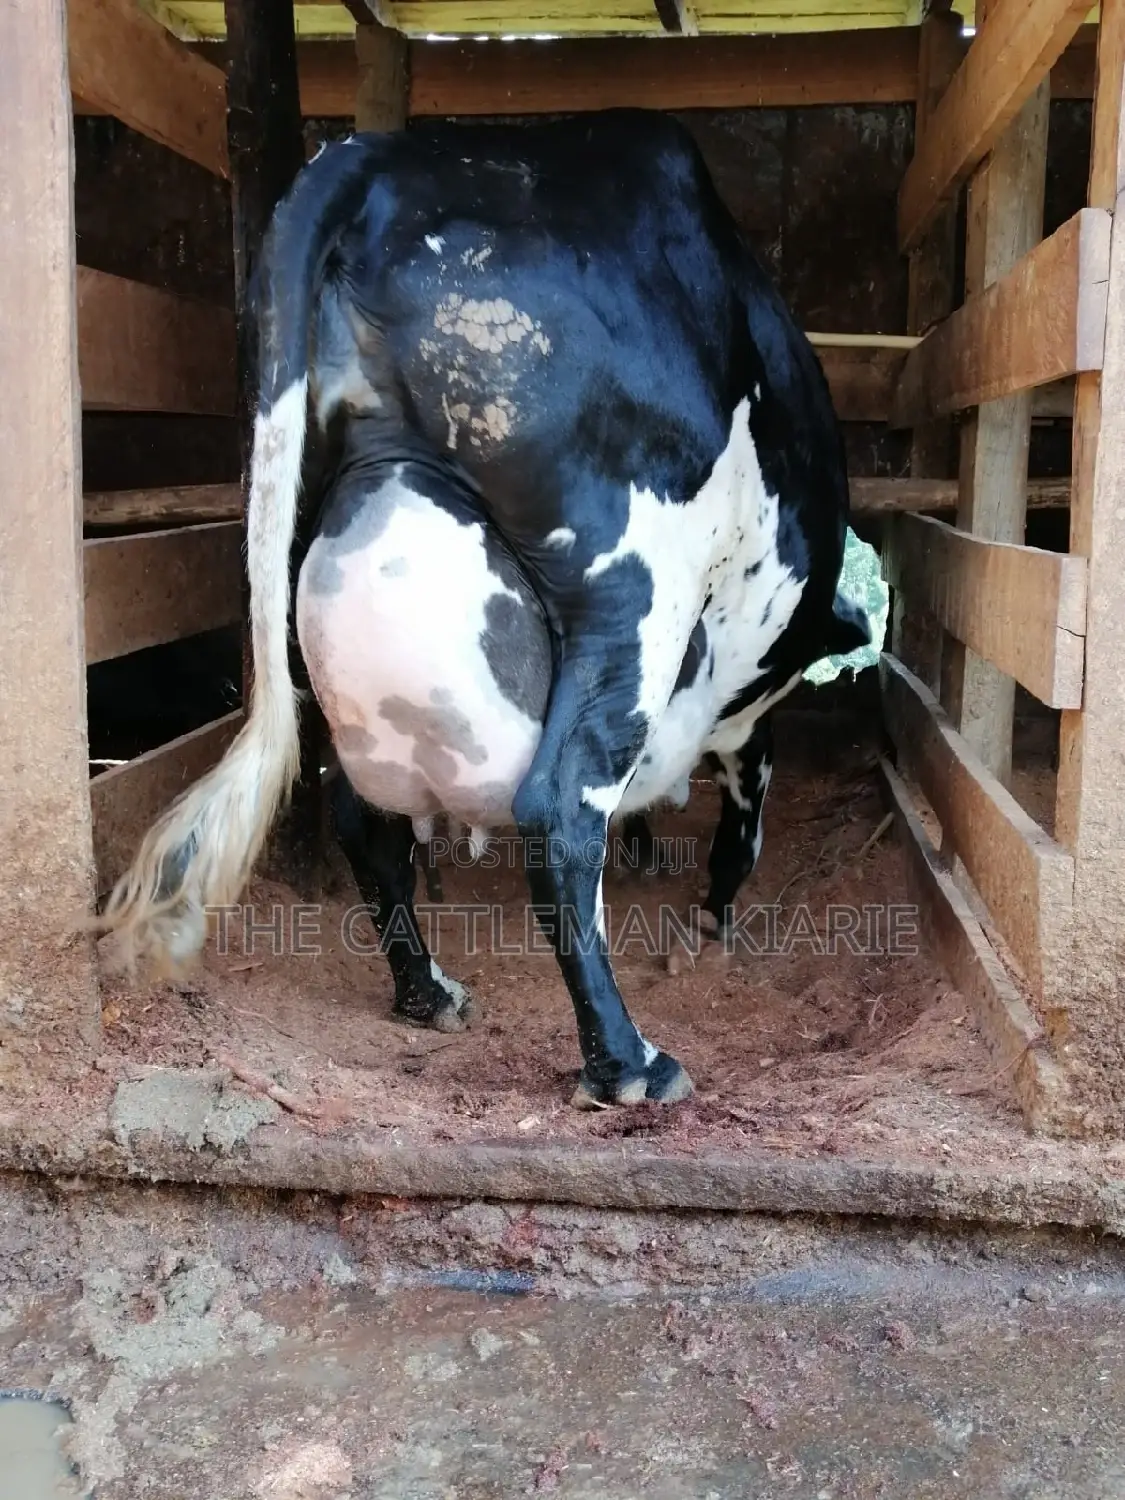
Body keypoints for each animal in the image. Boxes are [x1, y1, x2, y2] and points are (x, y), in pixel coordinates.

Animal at [93, 109, 870, 1110]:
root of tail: (379, 155)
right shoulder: (738, 700)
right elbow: (743, 800)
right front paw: (714, 914)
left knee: (359, 816)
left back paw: (427, 994)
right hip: (634, 585)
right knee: (560, 808)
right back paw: (628, 1064)